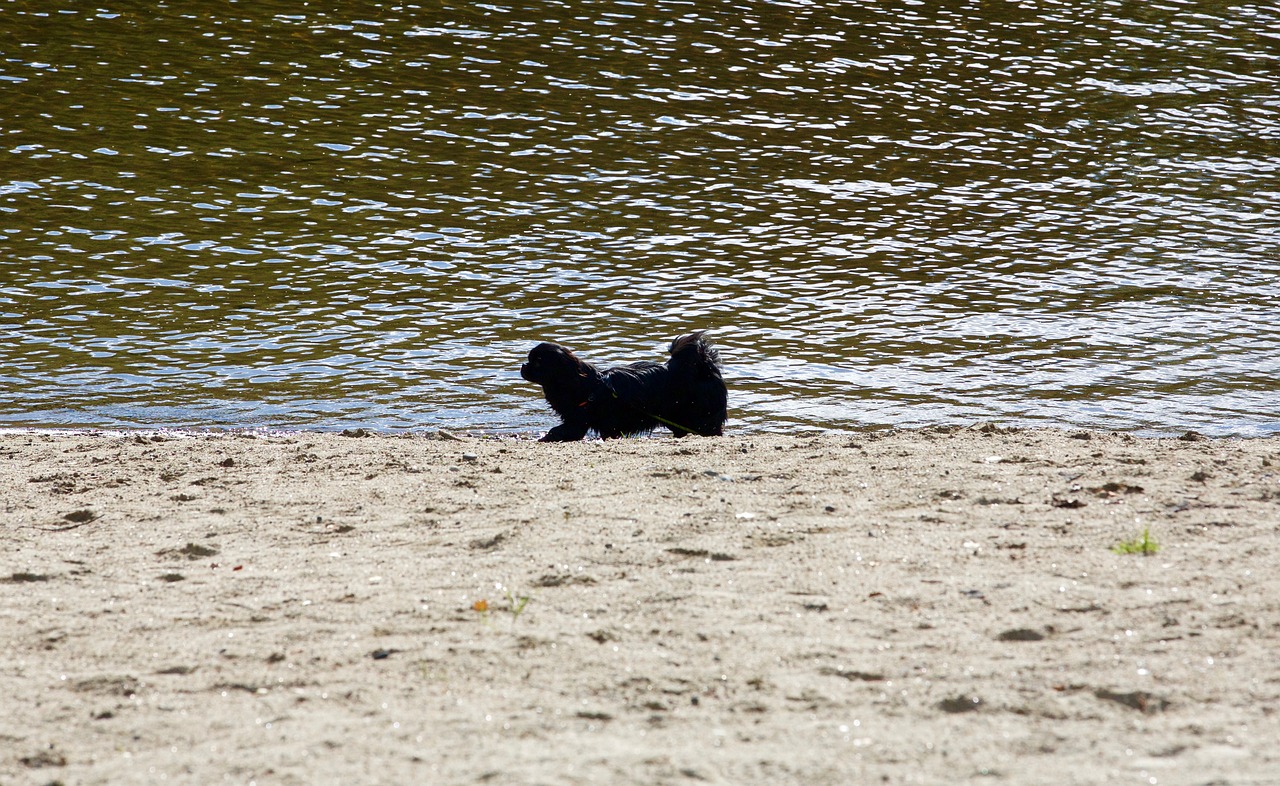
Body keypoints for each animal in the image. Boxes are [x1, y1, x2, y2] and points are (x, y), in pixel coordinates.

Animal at [517, 332, 721, 442]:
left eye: (537, 362)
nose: (523, 366)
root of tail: (705, 367)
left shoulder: (577, 423)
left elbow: (558, 431)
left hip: (701, 420)